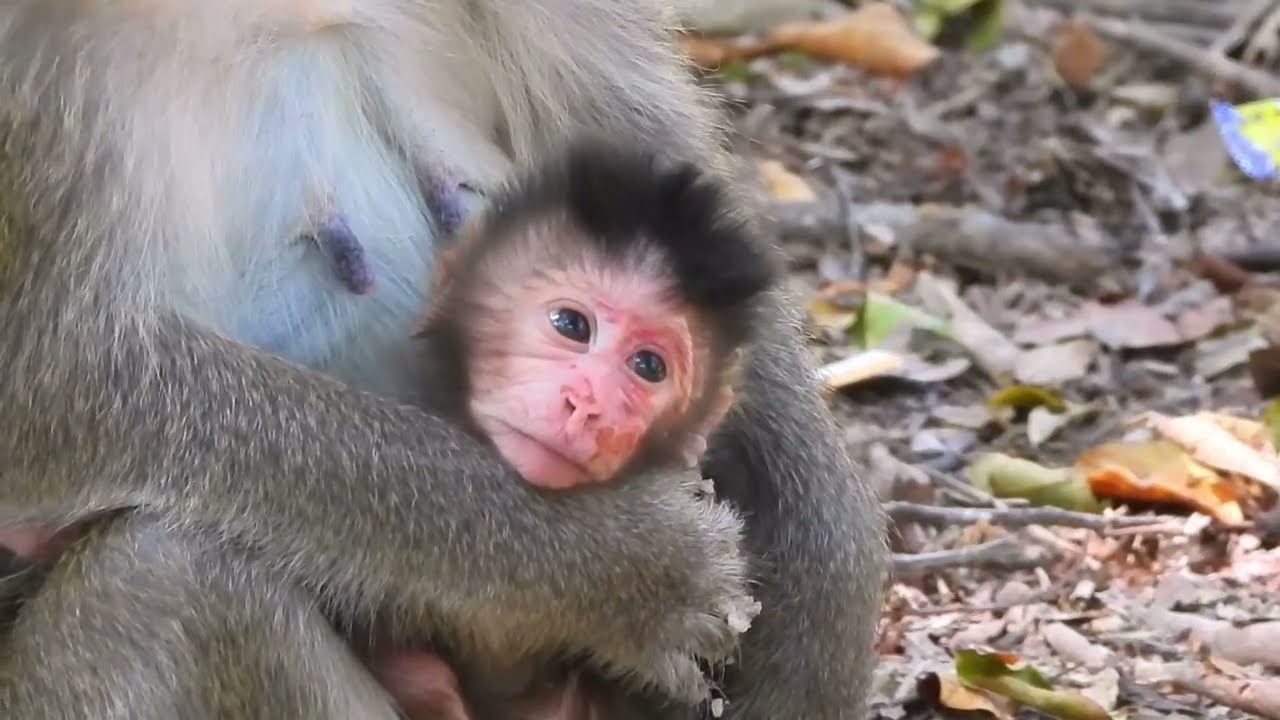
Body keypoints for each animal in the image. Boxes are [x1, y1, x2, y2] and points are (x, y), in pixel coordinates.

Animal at [0, 2, 888, 719]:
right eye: (568, 327)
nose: (588, 404)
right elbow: (60, 385)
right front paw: (630, 564)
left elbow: (652, 165)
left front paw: (826, 591)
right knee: (167, 582)